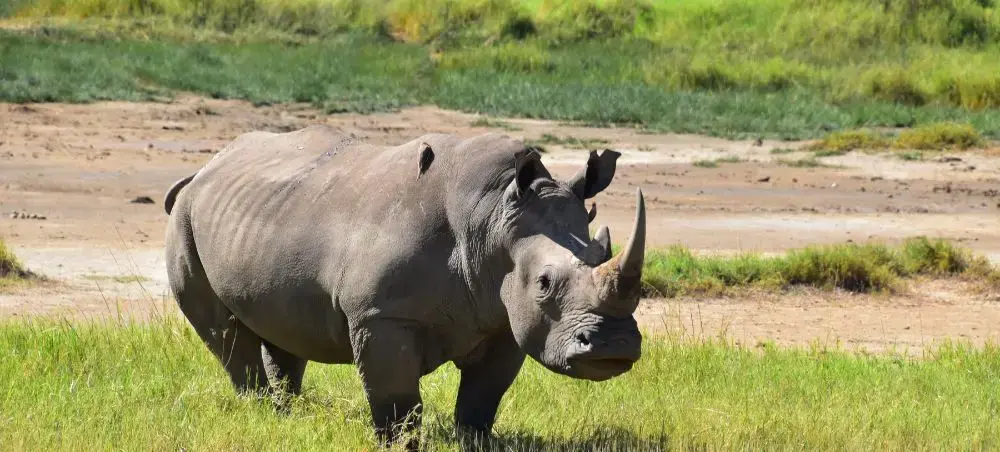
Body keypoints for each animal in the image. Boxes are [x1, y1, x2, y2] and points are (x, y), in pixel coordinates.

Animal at [163, 125, 646, 448]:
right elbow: (395, 397)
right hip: (184, 217)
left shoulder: (506, 319)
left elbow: (483, 394)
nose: (614, 347)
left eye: (604, 252)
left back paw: (288, 414)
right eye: (545, 283)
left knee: (281, 328)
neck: (491, 218)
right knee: (224, 333)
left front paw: (473, 441)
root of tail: (205, 169)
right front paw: (398, 444)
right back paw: (261, 411)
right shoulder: (380, 316)